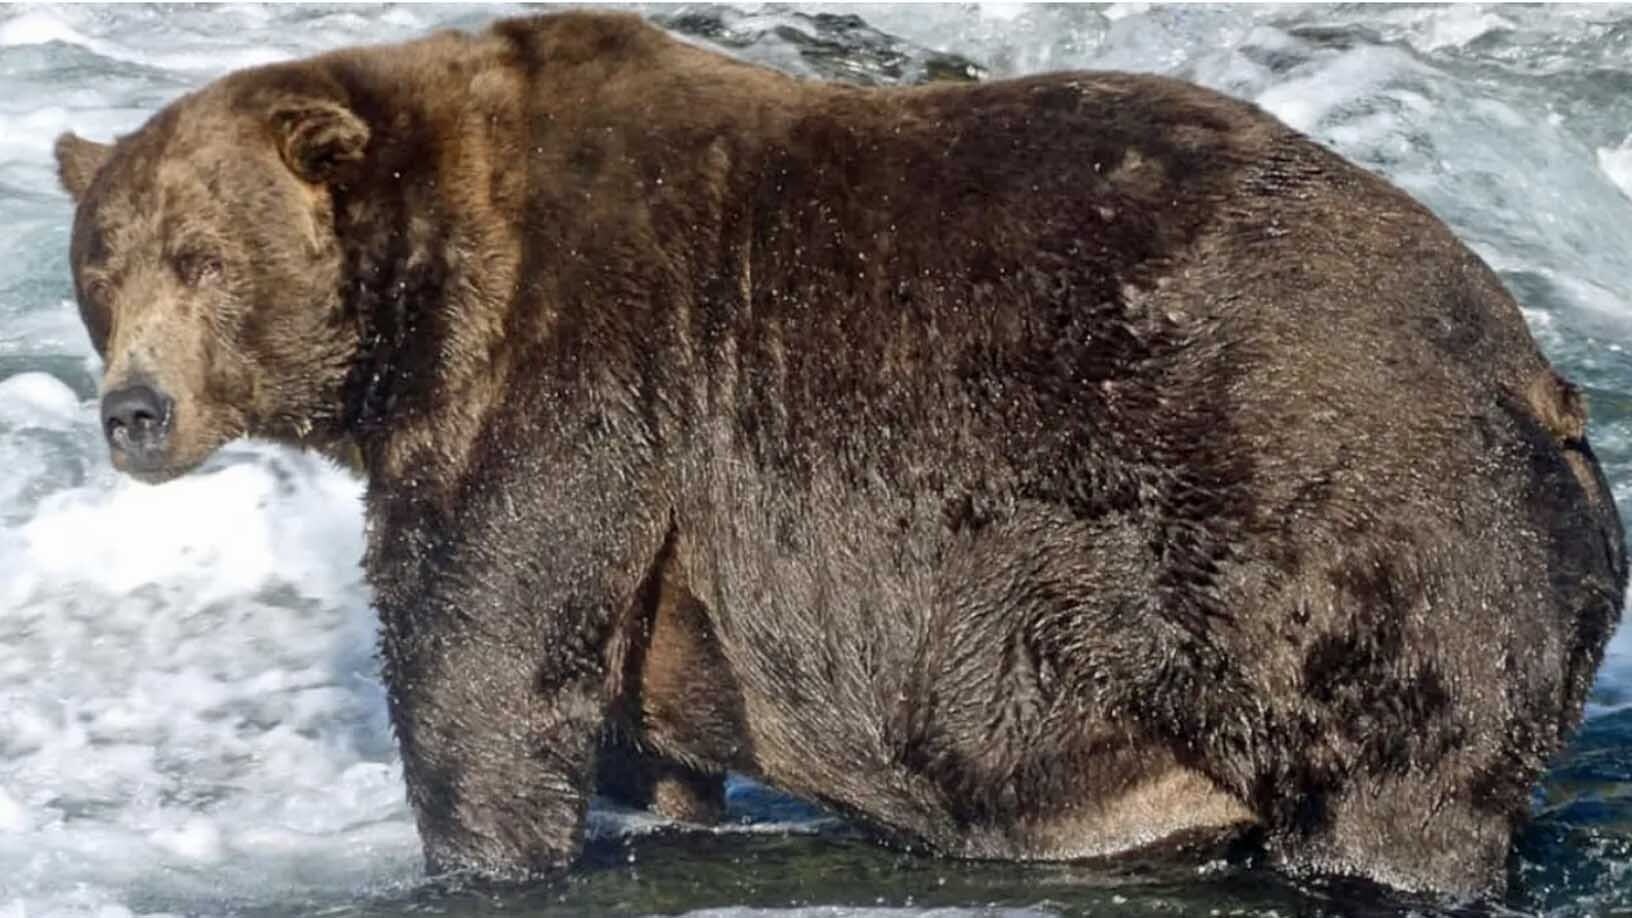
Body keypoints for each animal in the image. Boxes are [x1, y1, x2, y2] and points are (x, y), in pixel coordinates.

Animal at [53, 10, 1624, 900]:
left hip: (1352, 545)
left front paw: (473, 850)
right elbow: (629, 729)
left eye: (201, 255)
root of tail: (1540, 376)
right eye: (99, 268)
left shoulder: (578, 374)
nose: (133, 411)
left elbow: (484, 661)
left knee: (1395, 787)